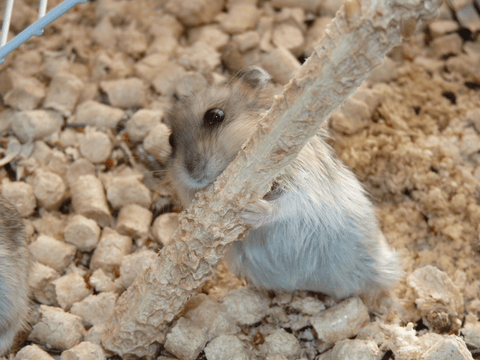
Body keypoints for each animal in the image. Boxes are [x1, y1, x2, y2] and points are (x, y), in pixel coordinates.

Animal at [165, 67, 402, 298]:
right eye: (171, 141)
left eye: (215, 115)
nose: (193, 173)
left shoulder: (305, 186)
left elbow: (286, 204)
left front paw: (248, 210)